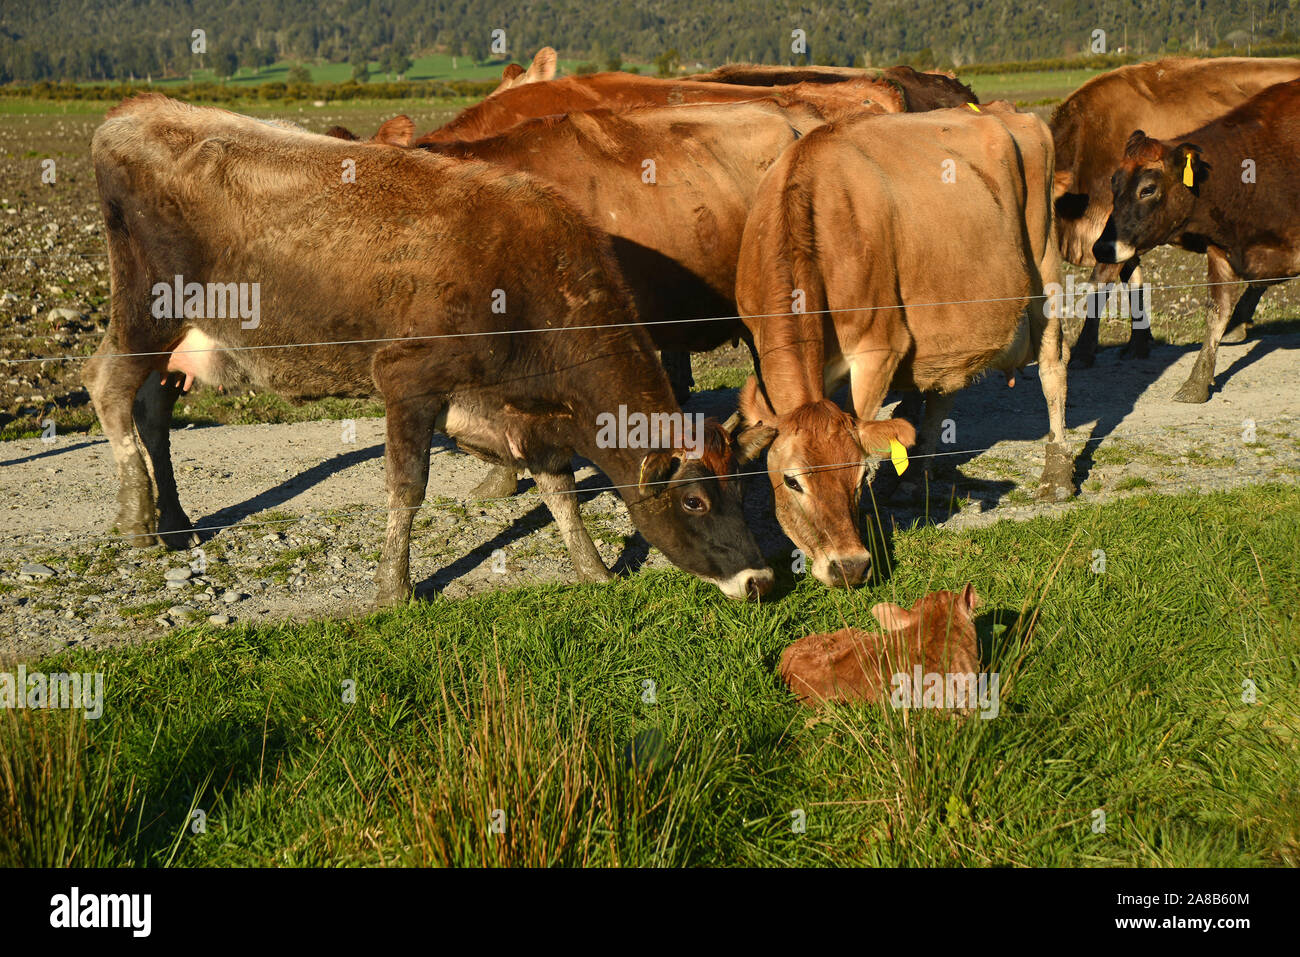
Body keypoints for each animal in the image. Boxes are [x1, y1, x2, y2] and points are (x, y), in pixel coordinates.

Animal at [84, 95, 775, 607]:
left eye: (743, 492)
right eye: (694, 501)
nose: (762, 581)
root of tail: (139, 110)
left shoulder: (519, 410)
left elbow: (558, 488)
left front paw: (593, 570)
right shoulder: (408, 379)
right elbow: (406, 487)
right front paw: (393, 589)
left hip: (174, 342)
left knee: (152, 410)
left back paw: (173, 520)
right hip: (147, 311)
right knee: (108, 387)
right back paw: (138, 519)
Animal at [734, 104, 1072, 587]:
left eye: (859, 475)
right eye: (792, 480)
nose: (850, 566)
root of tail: (1005, 110)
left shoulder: (880, 347)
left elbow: (865, 418)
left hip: (1046, 266)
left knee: (1052, 367)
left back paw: (1058, 473)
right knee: (944, 392)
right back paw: (914, 480)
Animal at [1094, 78, 1300, 404]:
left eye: (1148, 189)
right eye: (1114, 182)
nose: (1101, 247)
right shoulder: (1221, 250)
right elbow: (1217, 311)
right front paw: (1197, 382)